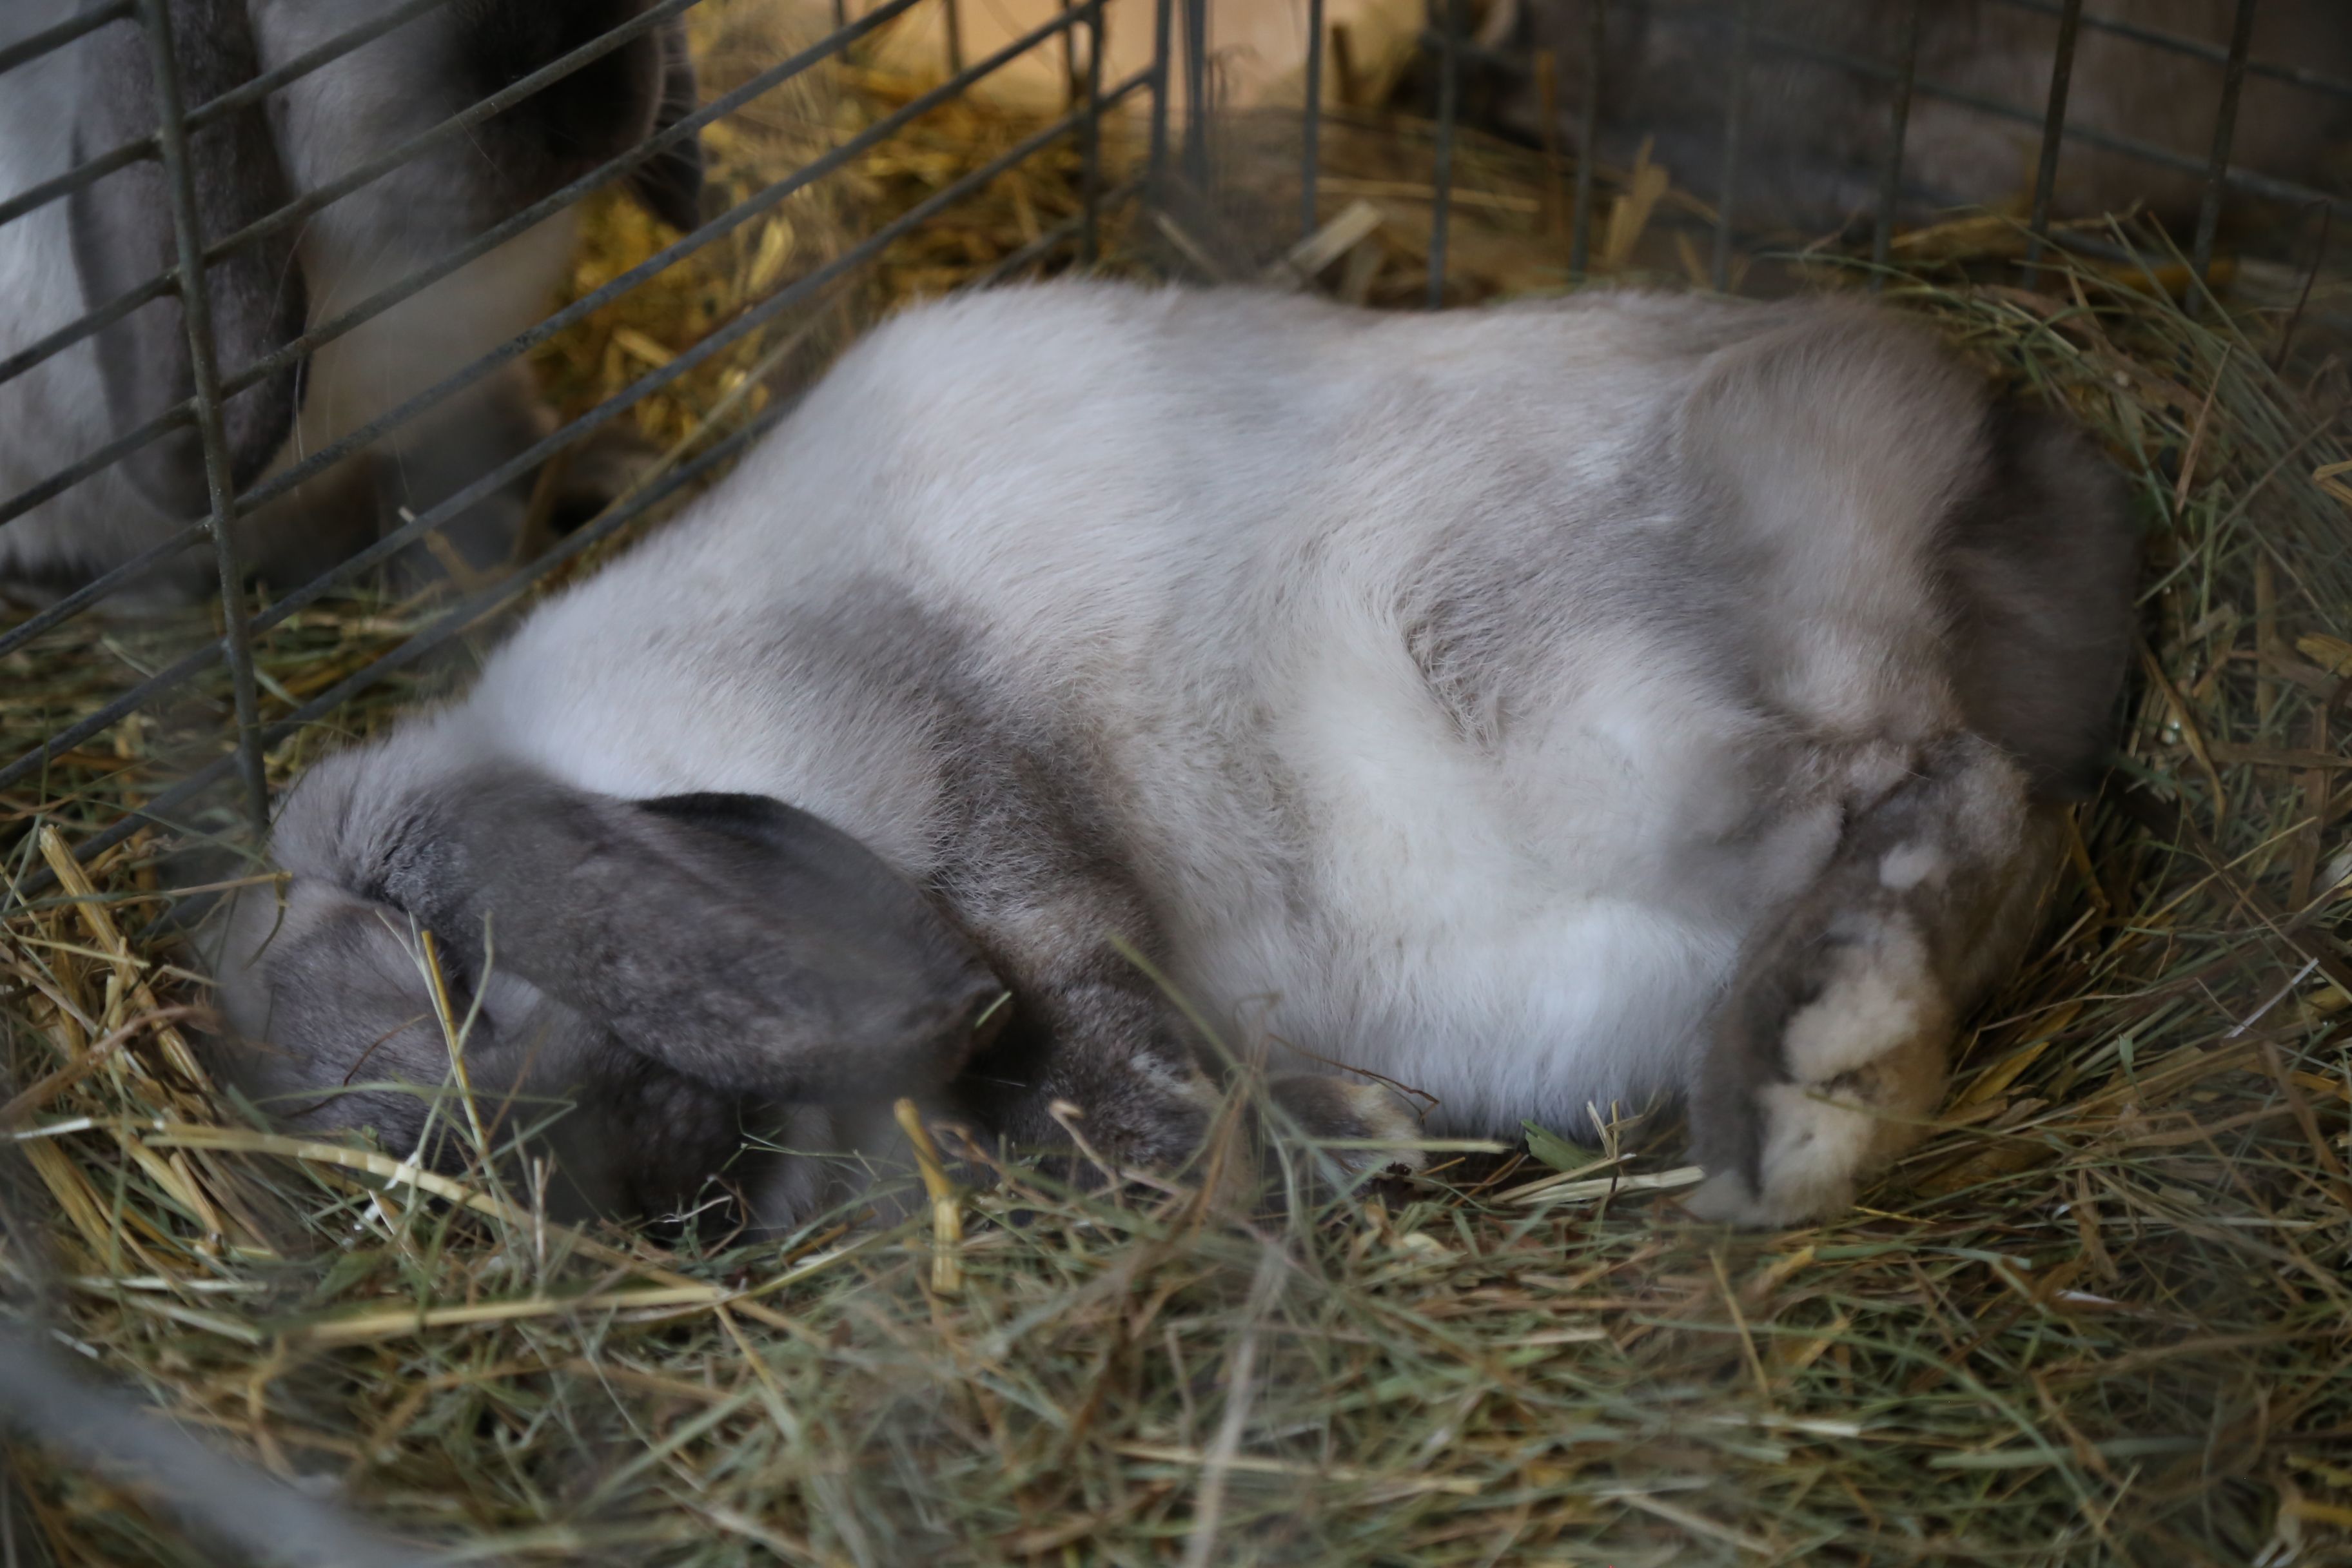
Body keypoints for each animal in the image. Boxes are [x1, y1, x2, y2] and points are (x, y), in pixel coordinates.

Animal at [207, 279, 2138, 1229]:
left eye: (447, 963)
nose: (676, 1159)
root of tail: (1973, 451)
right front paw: (1346, 1133)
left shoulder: (965, 789)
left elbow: (1090, 1002)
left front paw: (1330, 1139)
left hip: (1559, 680)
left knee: (1936, 788)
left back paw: (1812, 1068)